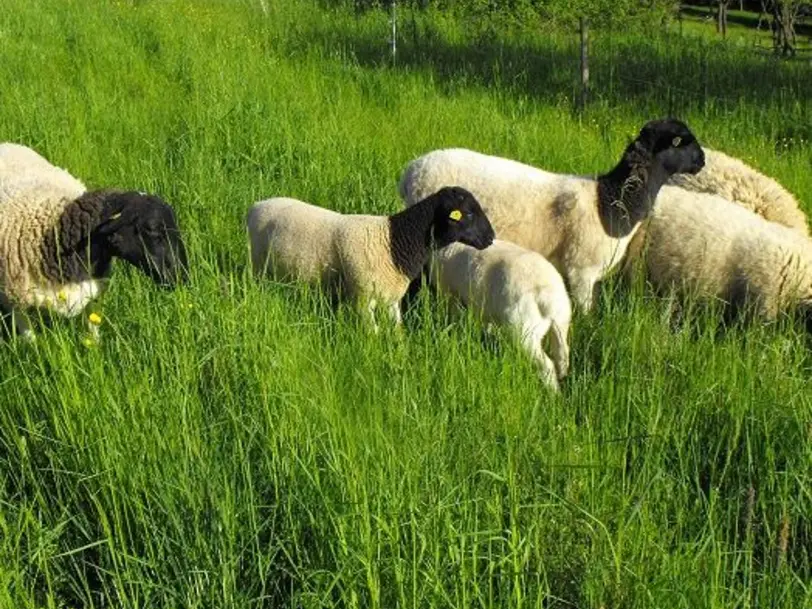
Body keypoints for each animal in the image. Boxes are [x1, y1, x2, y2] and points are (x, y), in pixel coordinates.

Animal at [0, 144, 191, 342]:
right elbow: (31, 340)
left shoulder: (94, 292)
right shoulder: (15, 301)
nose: (182, 277)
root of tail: (7, 145)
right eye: (152, 229)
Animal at [247, 186, 498, 330]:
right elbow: (374, 334)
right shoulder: (363, 299)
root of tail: (255, 206)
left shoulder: (391, 299)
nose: (491, 238)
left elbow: (397, 331)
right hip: (258, 267)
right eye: (468, 213)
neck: (395, 241)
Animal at [432, 238, 572, 390]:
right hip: (561, 321)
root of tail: (547, 297)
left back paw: (552, 392)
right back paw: (561, 379)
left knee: (546, 365)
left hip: (524, 332)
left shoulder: (448, 292)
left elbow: (453, 316)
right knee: (562, 354)